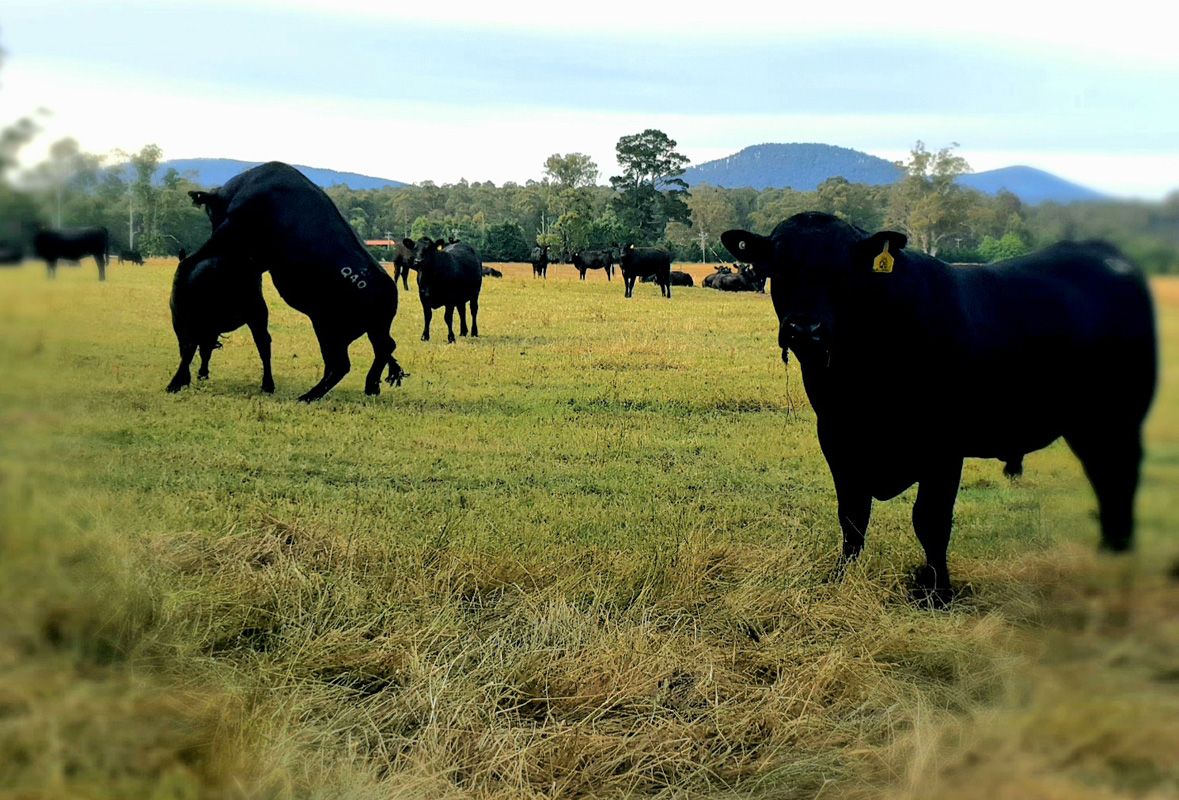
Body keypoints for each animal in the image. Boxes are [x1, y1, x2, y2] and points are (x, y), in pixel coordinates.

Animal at [181, 161, 406, 402]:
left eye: (210, 212)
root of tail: (388, 293)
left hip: (328, 327)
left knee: (342, 363)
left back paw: (307, 396)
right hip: (369, 329)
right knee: (384, 348)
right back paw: (370, 386)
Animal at [722, 212, 1156, 608]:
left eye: (844, 271)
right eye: (779, 266)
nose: (804, 329)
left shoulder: (944, 447)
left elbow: (930, 520)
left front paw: (938, 593)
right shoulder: (837, 439)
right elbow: (852, 517)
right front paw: (842, 578)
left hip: (1118, 420)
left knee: (1120, 480)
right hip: (1088, 426)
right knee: (1106, 480)